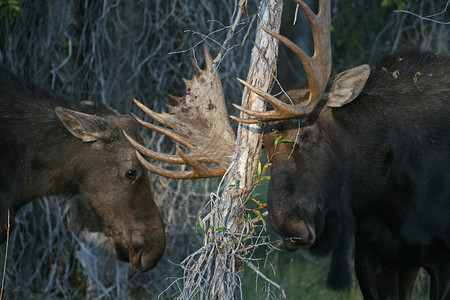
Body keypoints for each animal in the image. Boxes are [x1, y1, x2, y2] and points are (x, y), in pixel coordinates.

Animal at [125, 0, 450, 298]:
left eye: (305, 134)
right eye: (264, 148)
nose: (291, 227)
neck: (385, 197)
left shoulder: (439, 257)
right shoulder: (375, 256)